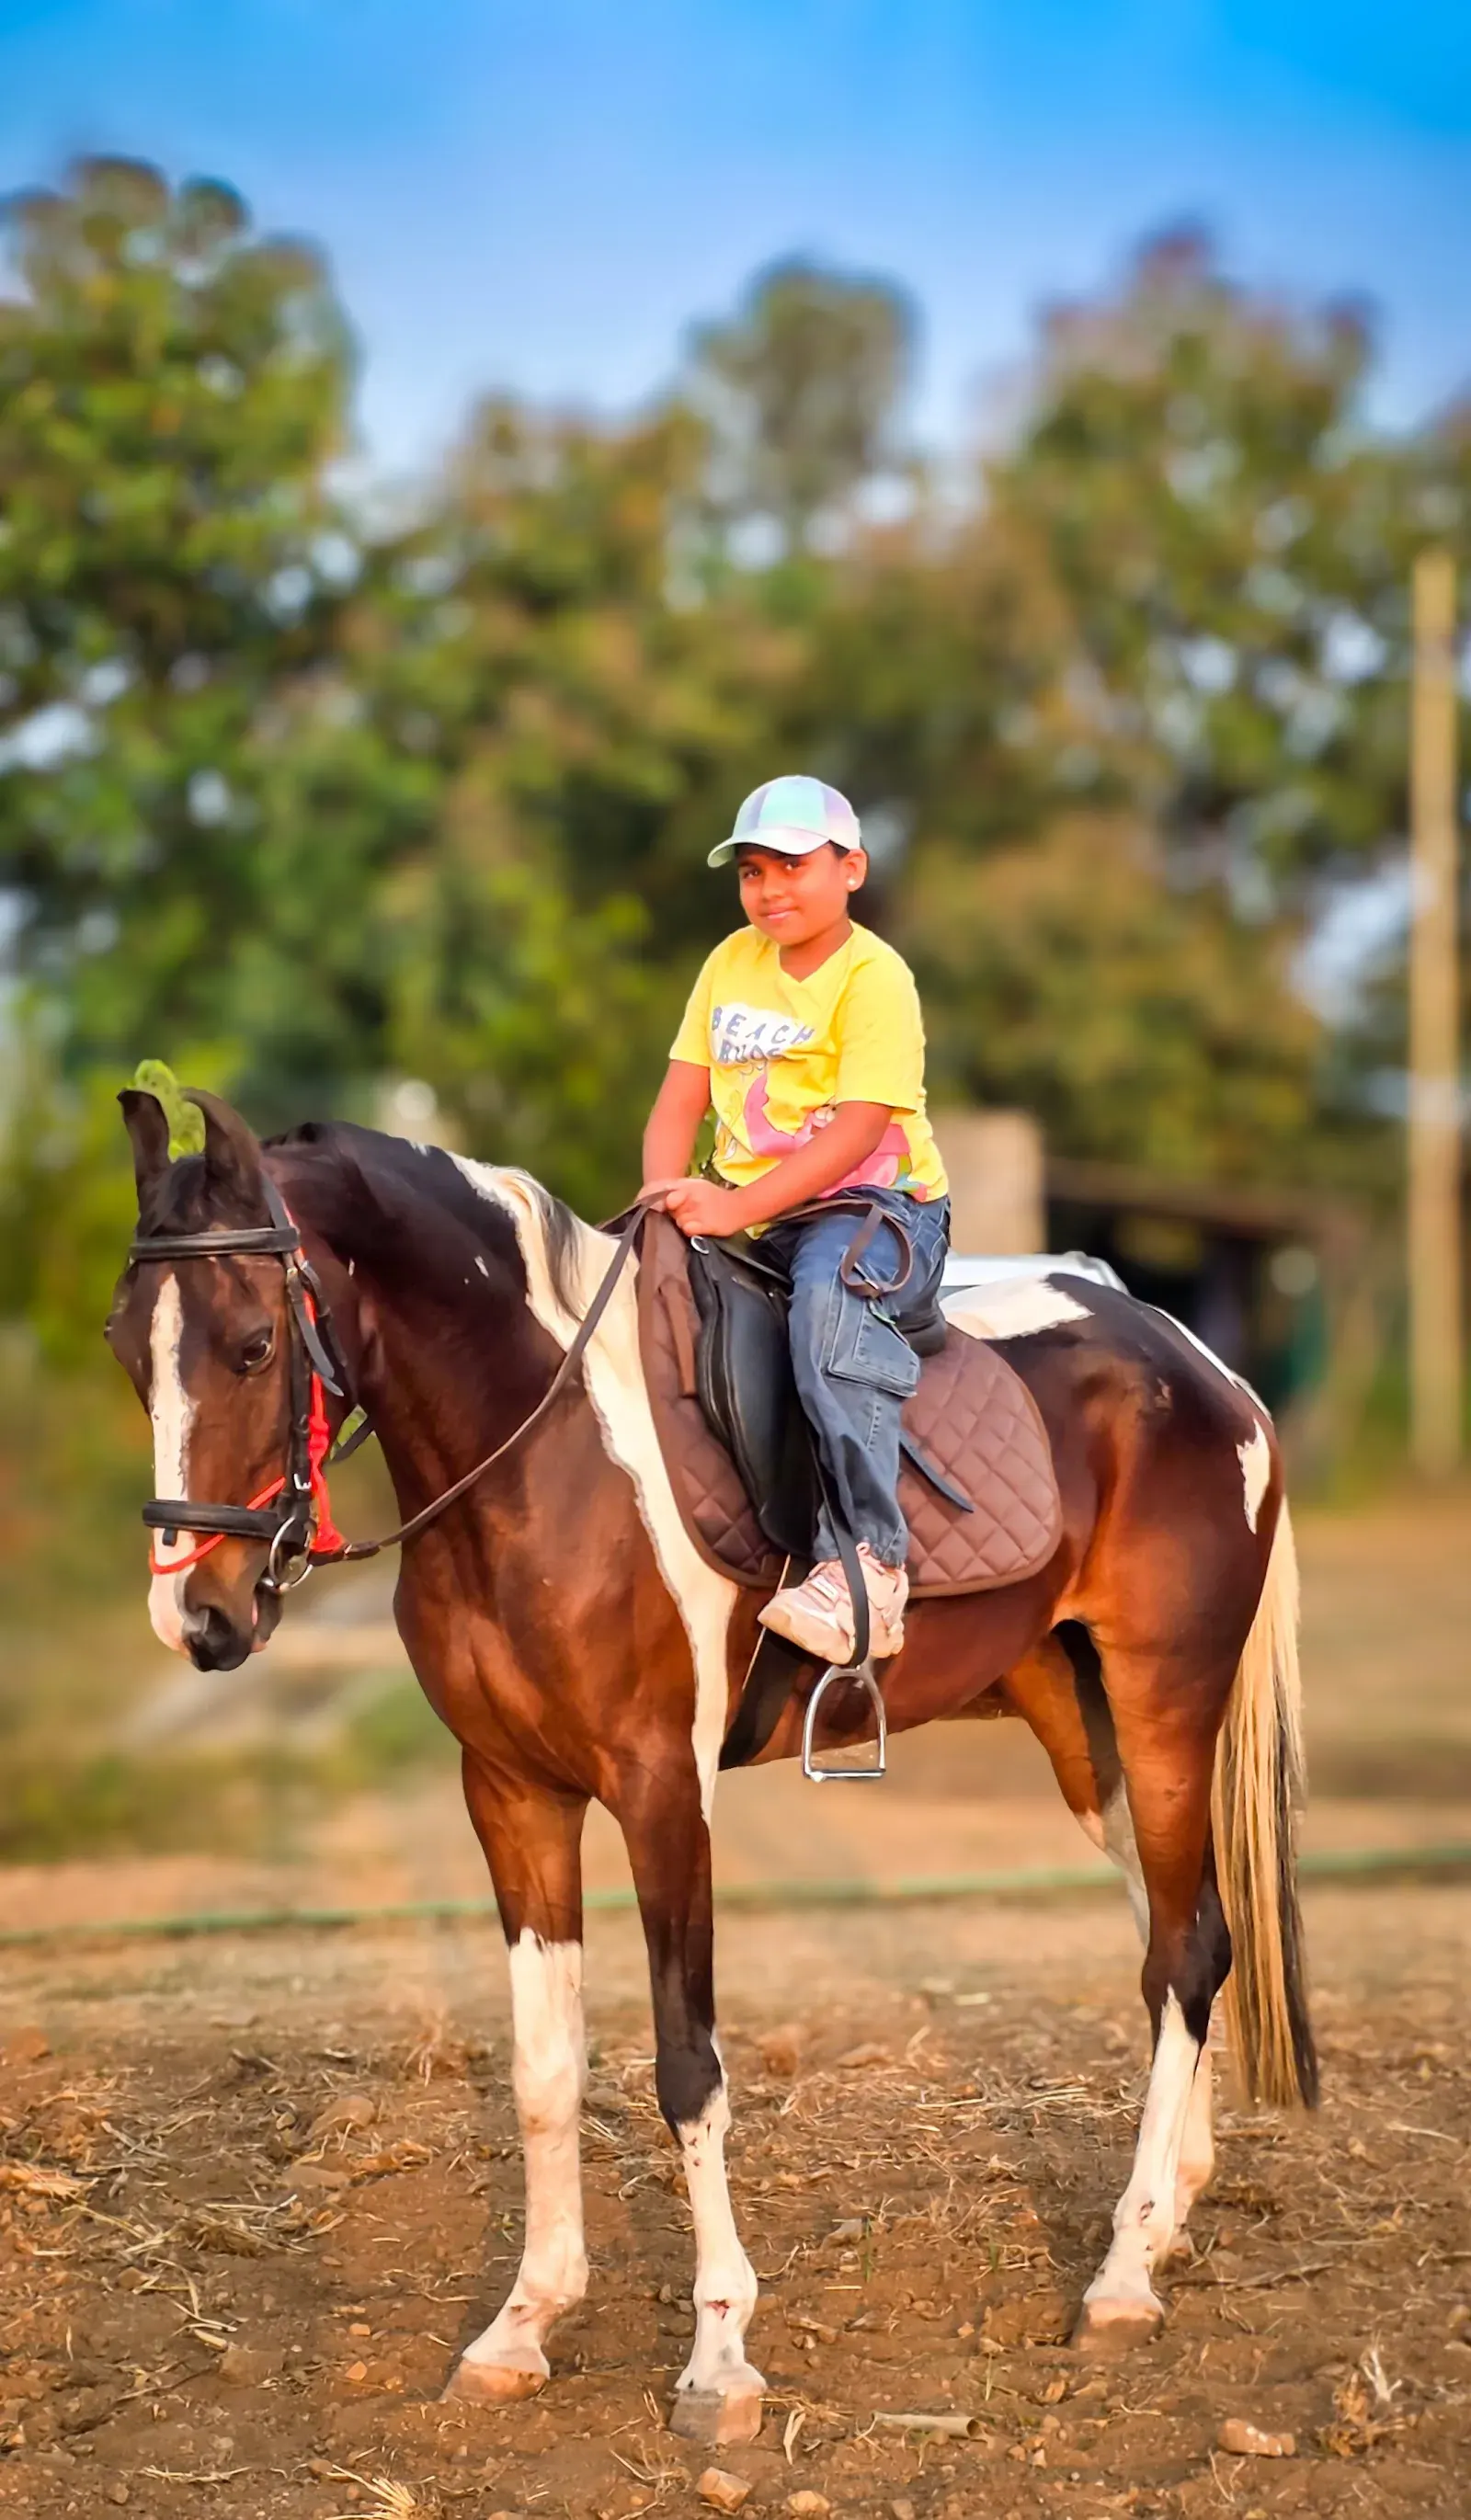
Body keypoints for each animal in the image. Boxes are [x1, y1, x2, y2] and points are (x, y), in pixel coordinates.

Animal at [105, 1086, 1317, 2447]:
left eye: (254, 1345)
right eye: (124, 1346)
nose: (199, 1618)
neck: (544, 1456)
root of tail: (1205, 1369)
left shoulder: (658, 1789)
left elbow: (689, 2068)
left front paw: (720, 2356)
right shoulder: (510, 1792)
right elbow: (543, 2068)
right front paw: (521, 2326)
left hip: (1164, 1704)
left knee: (1189, 1948)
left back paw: (1118, 2278)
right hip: (1083, 1722)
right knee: (1178, 1930)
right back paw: (1167, 2223)